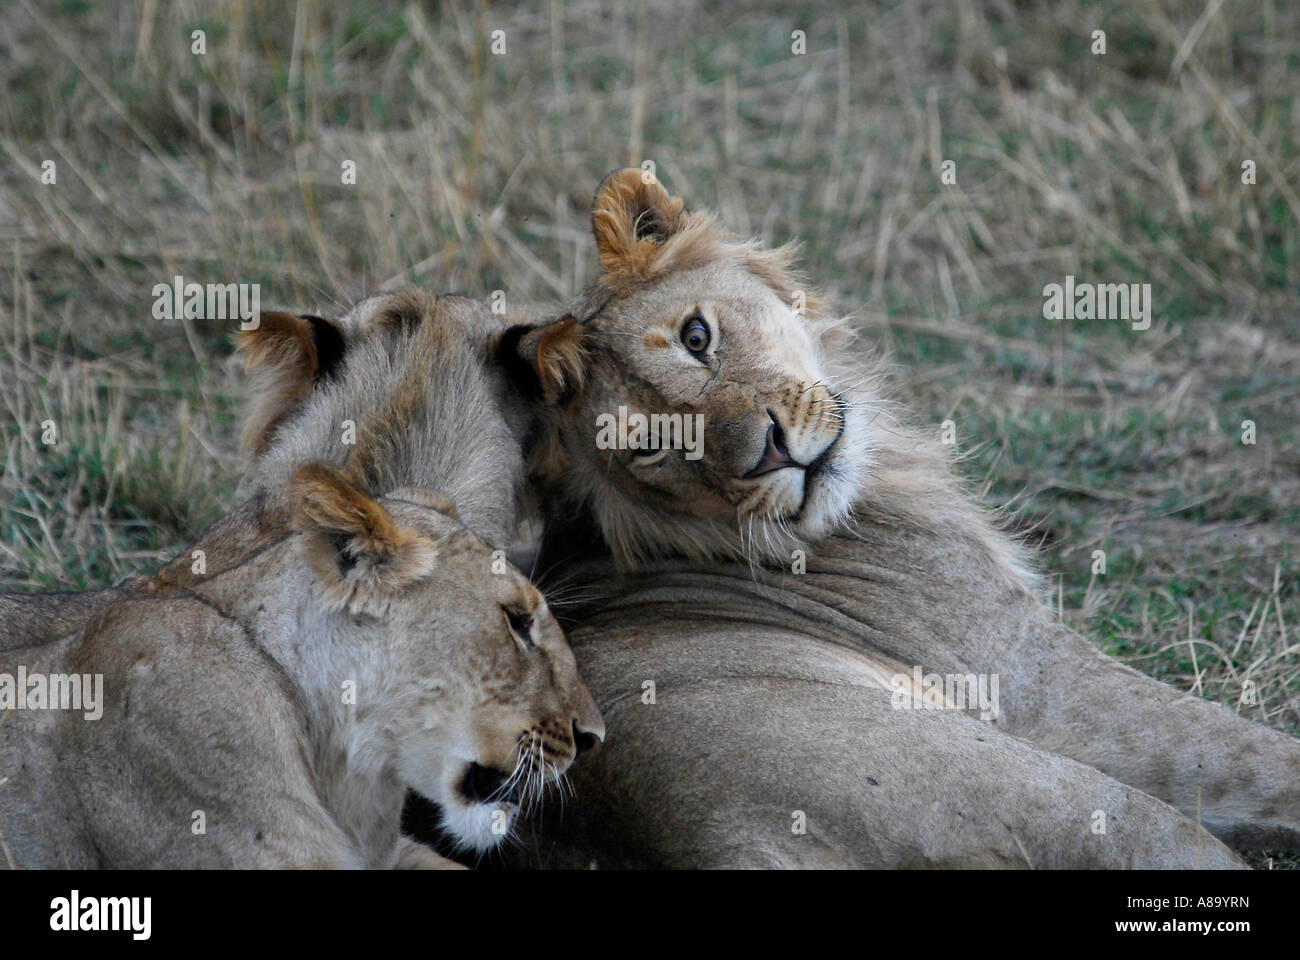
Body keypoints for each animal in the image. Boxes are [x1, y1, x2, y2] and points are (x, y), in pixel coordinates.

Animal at [484, 169, 1299, 867]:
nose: (770, 454)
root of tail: (711, 844)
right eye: (652, 448)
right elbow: (1256, 753)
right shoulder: (1034, 679)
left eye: (696, 337)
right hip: (1065, 795)